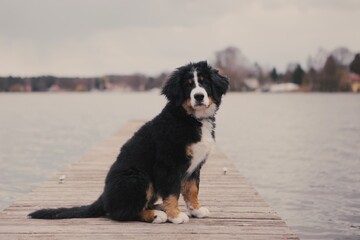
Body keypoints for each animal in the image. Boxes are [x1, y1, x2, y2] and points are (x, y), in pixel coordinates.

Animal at [29, 61, 229, 224]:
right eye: (188, 85)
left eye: (204, 82)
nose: (199, 96)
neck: (191, 118)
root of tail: (104, 197)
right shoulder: (168, 164)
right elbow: (173, 191)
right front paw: (175, 215)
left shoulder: (194, 166)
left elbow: (192, 190)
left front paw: (196, 210)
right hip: (138, 177)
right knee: (121, 212)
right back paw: (156, 214)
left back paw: (158, 208)